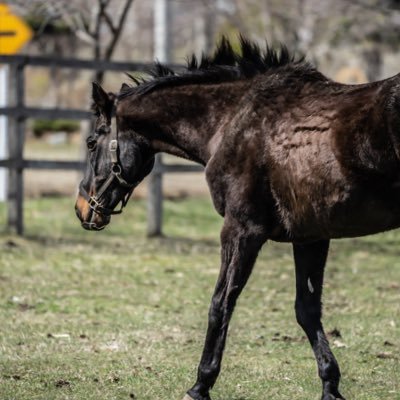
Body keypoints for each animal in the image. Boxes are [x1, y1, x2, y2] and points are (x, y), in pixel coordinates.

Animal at [75, 36, 400, 398]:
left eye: (91, 142)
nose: (83, 207)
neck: (233, 120)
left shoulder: (241, 229)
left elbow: (221, 303)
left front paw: (200, 384)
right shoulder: (311, 237)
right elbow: (307, 309)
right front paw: (330, 385)